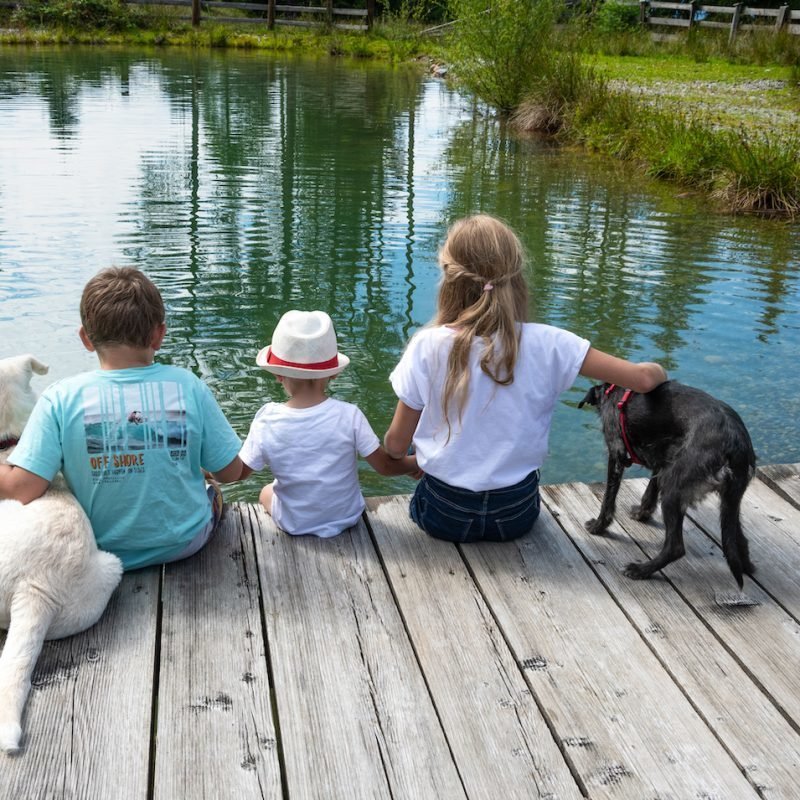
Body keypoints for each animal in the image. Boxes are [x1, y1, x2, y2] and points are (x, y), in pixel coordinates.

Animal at [580, 382, 752, 588]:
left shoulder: (616, 453)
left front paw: (599, 526)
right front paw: (642, 513)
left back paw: (640, 570)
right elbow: (650, 490)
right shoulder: (663, 460)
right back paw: (746, 566)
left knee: (675, 547)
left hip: (673, 489)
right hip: (730, 499)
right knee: (739, 539)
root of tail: (736, 442)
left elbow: (608, 498)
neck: (614, 390)